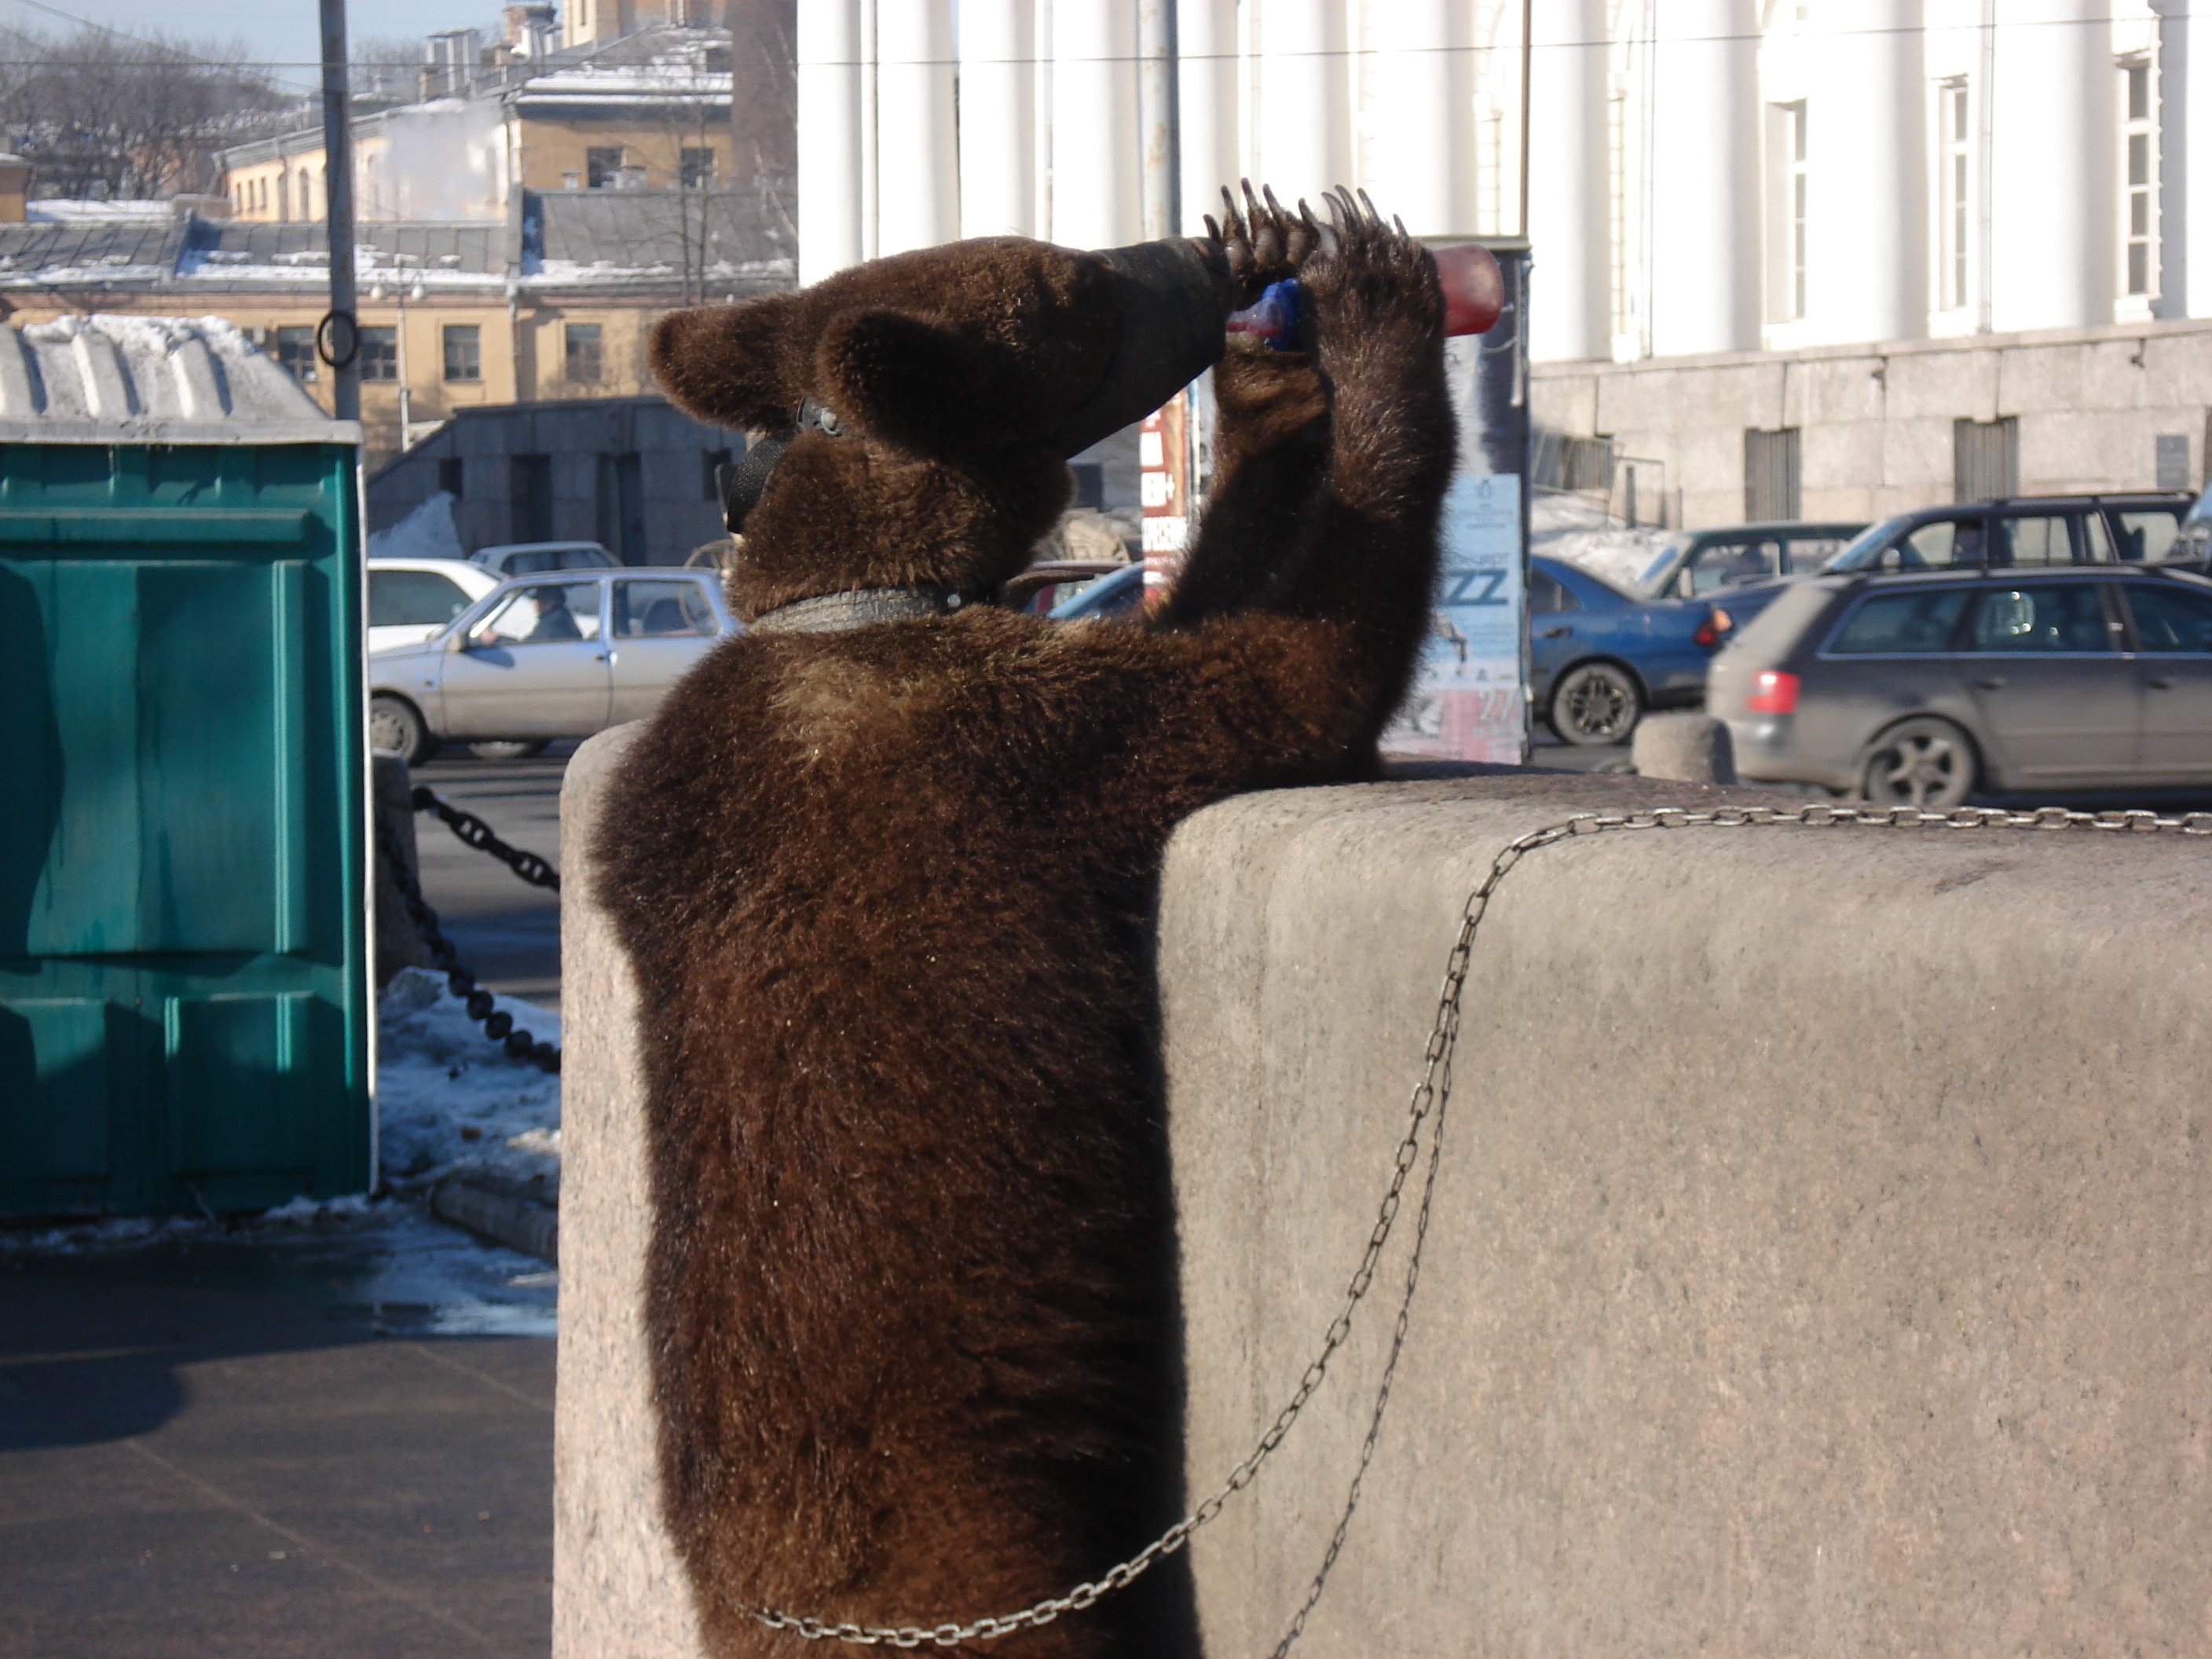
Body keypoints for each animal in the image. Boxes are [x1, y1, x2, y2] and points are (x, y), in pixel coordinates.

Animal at [606, 188, 1459, 1654]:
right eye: (1083, 294)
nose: (1201, 259)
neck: (866, 595)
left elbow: (1211, 604)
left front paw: (1273, 376)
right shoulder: (1020, 750)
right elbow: (1294, 664)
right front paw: (1375, 311)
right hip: (977, 1553)